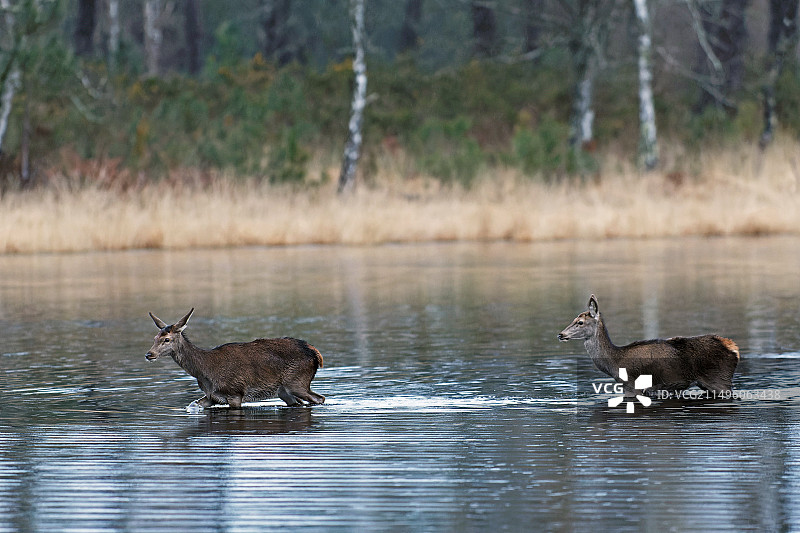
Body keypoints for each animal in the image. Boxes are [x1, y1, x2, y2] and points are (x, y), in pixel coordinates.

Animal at [145, 308, 325, 409]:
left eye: (167, 339)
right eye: (154, 338)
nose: (149, 354)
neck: (205, 371)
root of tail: (316, 353)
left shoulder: (235, 393)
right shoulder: (212, 397)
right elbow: (193, 405)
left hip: (297, 382)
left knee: (320, 398)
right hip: (284, 391)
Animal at [558, 295, 739, 399]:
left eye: (580, 322)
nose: (560, 334)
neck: (613, 362)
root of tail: (733, 348)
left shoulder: (631, 386)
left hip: (720, 380)